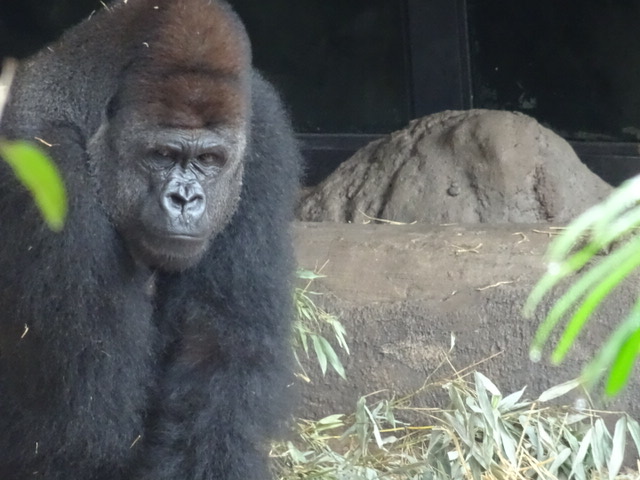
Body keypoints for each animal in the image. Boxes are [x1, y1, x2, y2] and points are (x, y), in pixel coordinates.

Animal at [0, 0, 302, 480]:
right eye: (161, 155)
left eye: (209, 160)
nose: (185, 199)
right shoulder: (50, 168)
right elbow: (81, 432)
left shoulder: (265, 133)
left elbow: (215, 371)